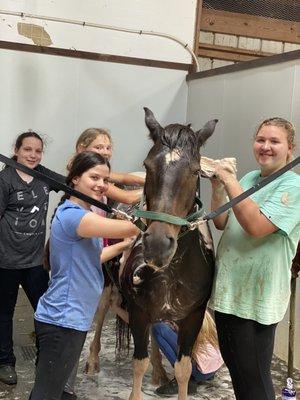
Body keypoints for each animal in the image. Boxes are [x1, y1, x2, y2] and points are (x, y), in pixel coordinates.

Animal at [119, 108, 218, 400]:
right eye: (147, 165)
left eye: (195, 171)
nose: (158, 245)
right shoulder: (139, 313)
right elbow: (138, 365)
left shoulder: (192, 318)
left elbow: (184, 369)